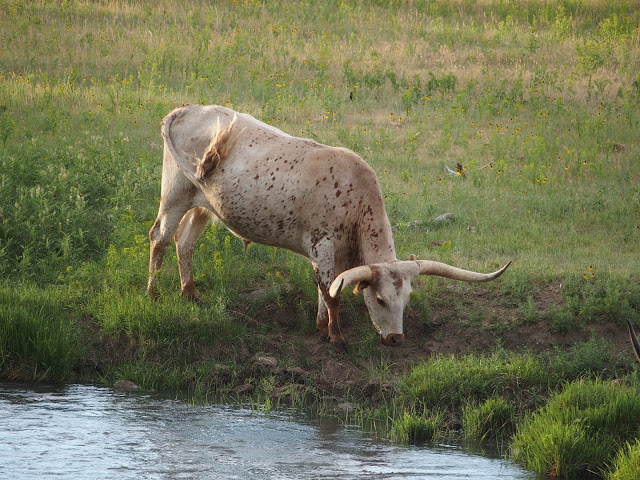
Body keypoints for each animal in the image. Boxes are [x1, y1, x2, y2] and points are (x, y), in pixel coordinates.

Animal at [147, 104, 510, 351]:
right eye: (380, 300)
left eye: (406, 299)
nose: (396, 339)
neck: (356, 197)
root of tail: (184, 110)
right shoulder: (322, 245)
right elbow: (330, 292)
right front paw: (336, 337)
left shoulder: (332, 255)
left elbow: (328, 288)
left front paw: (322, 328)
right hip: (175, 192)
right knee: (160, 238)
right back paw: (153, 296)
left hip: (202, 205)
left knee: (184, 242)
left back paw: (190, 294)